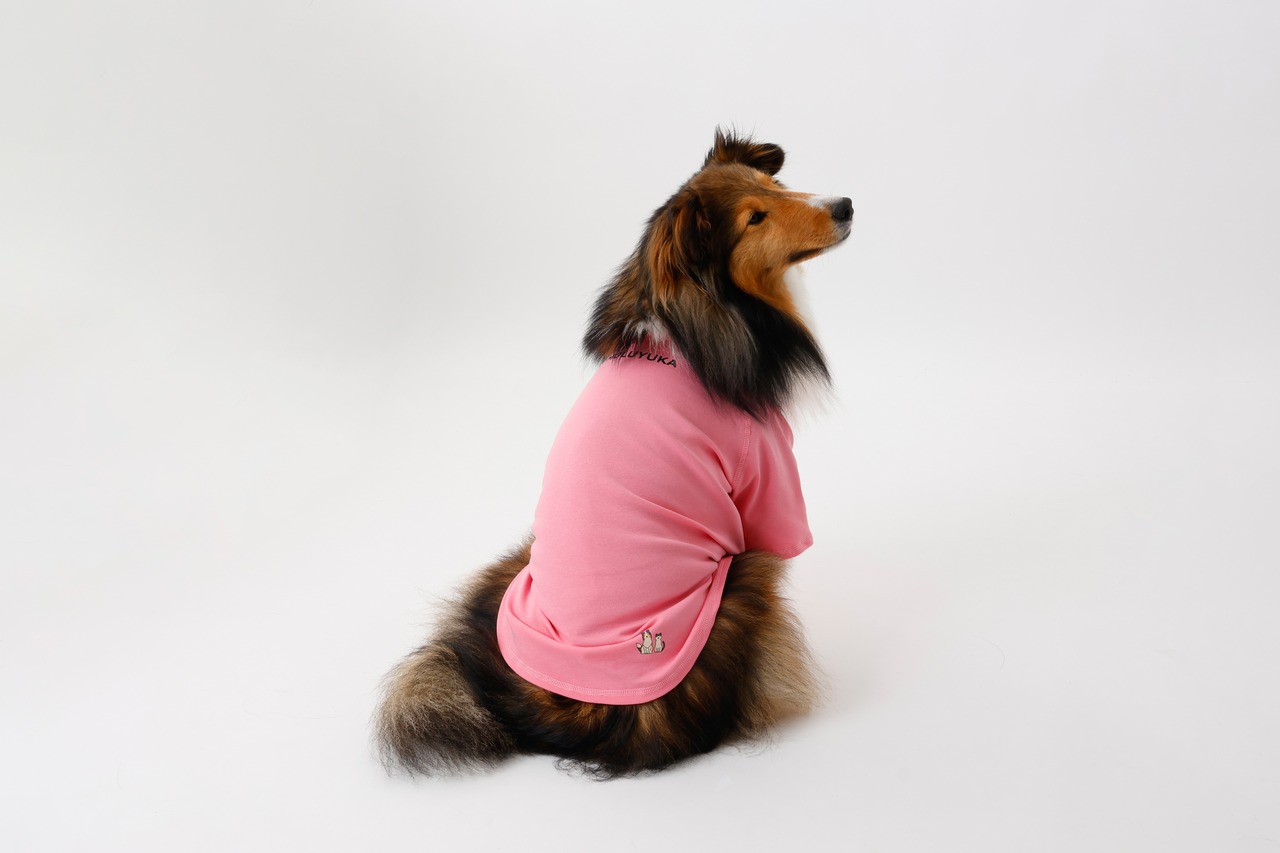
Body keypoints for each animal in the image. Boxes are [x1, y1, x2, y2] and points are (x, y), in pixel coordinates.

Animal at [376, 129, 853, 778]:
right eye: (755, 217)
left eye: (775, 186)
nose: (846, 206)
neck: (700, 319)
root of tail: (559, 716)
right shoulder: (767, 484)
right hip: (739, 583)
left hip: (516, 568)